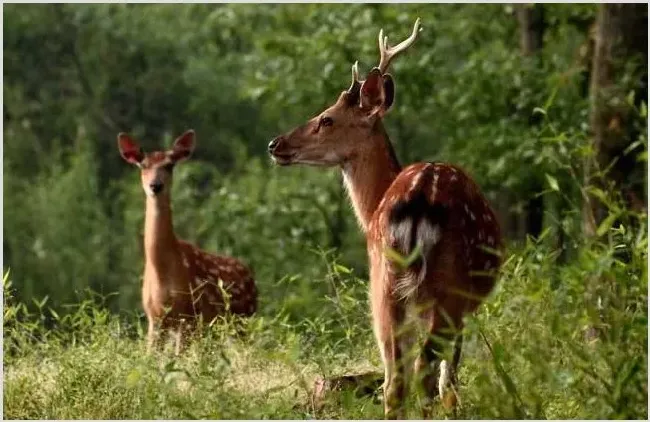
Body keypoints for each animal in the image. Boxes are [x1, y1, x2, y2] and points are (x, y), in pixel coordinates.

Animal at [119, 130, 256, 354]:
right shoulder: (154, 319)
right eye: (143, 165)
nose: (155, 186)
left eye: (169, 165)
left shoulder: (189, 314)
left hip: (243, 319)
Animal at [266, 19, 504, 416]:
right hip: (438, 288)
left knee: (397, 380)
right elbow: (451, 381)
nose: (275, 144)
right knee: (422, 374)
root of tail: (419, 200)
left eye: (326, 119)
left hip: (385, 283)